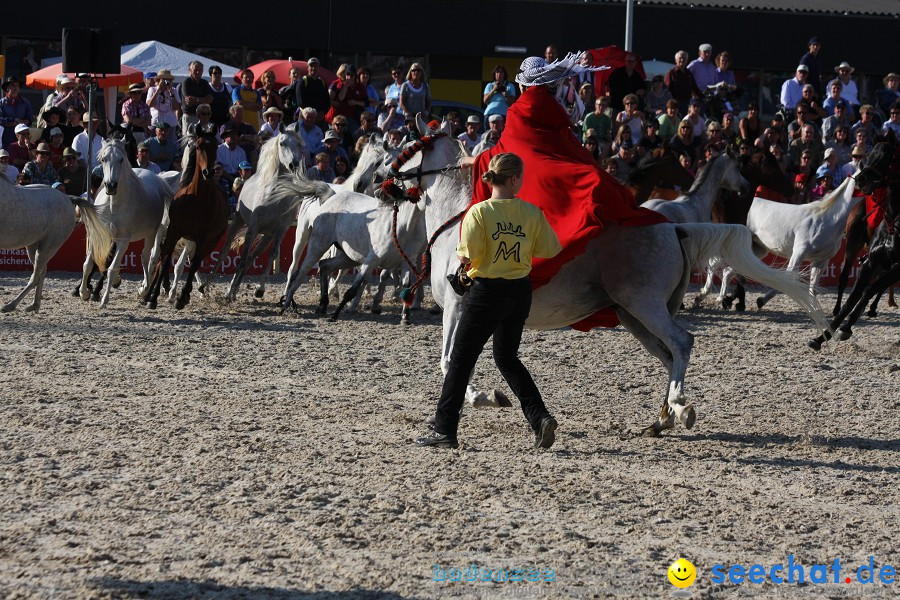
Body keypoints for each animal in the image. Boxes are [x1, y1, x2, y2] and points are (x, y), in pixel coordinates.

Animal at [0, 177, 111, 310]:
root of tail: (68, 198)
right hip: (33, 245)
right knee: (42, 271)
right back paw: (34, 305)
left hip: (48, 246)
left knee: (36, 276)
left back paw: (11, 305)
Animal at [81, 138, 173, 308]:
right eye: (103, 159)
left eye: (121, 159)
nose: (111, 186)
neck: (113, 204)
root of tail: (157, 178)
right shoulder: (100, 235)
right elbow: (88, 264)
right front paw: (84, 292)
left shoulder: (124, 240)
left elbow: (112, 268)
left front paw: (104, 300)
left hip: (152, 233)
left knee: (147, 257)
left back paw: (144, 290)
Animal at [390, 117, 828, 436]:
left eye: (404, 148)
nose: (383, 183)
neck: (458, 220)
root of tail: (674, 228)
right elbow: (466, 362)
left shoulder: (459, 308)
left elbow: (450, 362)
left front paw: (485, 398)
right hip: (632, 317)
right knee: (669, 354)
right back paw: (661, 418)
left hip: (645, 307)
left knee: (682, 343)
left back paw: (680, 408)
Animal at [740, 176, 860, 310]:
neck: (828, 219)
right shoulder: (799, 252)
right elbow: (789, 277)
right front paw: (761, 300)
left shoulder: (821, 261)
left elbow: (813, 286)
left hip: (758, 249)